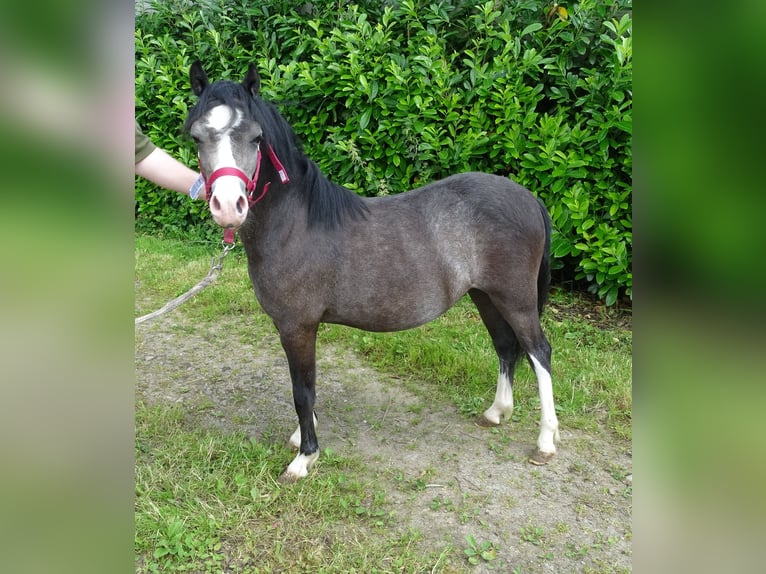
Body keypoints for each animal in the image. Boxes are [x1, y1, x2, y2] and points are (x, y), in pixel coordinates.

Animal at [184, 62, 560, 482]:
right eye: (197, 136)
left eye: (255, 137)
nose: (228, 206)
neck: (296, 223)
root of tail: (528, 198)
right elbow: (306, 385)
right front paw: (302, 437)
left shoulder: (297, 326)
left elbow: (302, 390)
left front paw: (304, 457)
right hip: (486, 296)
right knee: (506, 346)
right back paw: (496, 413)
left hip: (516, 299)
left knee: (539, 352)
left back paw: (545, 442)